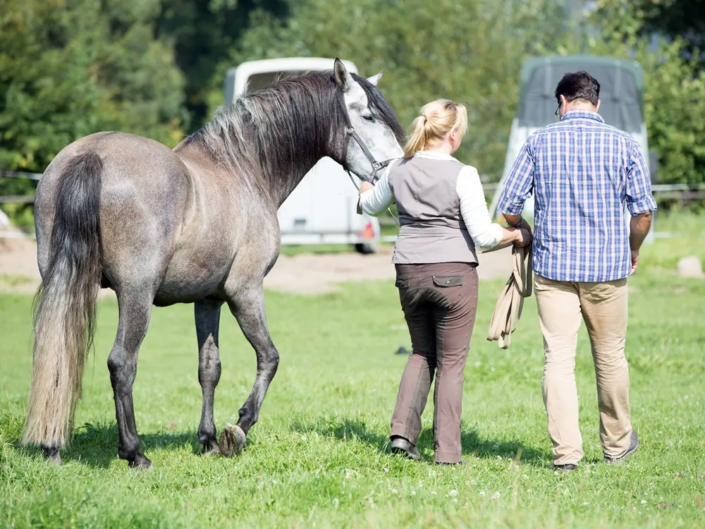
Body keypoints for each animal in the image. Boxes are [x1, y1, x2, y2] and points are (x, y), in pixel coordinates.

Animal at [23, 59, 402, 468]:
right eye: (368, 115)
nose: (393, 173)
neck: (243, 168)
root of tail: (90, 155)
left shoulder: (209, 299)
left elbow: (209, 367)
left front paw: (206, 439)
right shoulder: (245, 291)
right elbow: (269, 357)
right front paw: (237, 430)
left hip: (64, 283)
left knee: (58, 352)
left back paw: (52, 447)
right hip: (136, 294)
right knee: (122, 363)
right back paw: (134, 452)